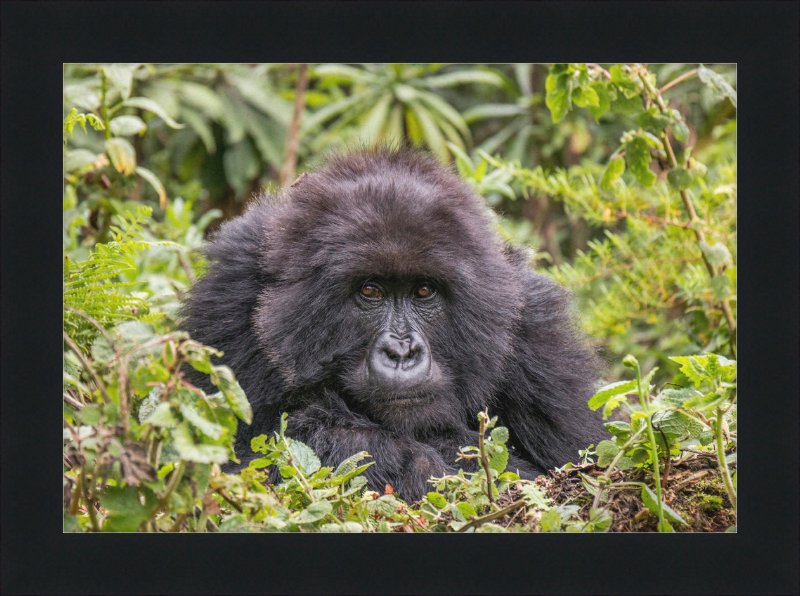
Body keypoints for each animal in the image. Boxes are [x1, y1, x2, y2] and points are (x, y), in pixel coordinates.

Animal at [181, 147, 608, 500]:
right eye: (370, 291)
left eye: (424, 291)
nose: (401, 351)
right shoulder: (228, 303)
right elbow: (230, 467)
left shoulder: (538, 333)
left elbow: (580, 466)